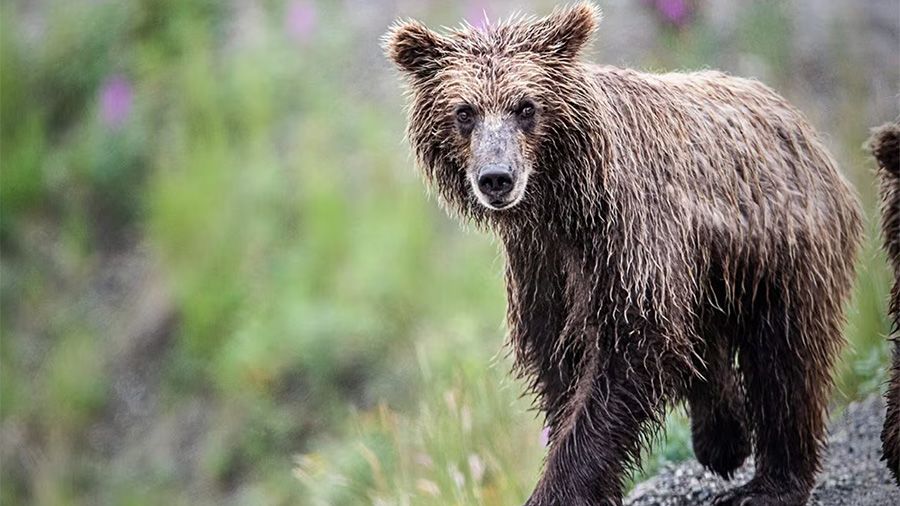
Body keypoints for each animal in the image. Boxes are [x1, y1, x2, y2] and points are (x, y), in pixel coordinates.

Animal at [384, 3, 862, 505]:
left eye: (526, 106)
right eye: (464, 111)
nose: (497, 177)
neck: (560, 204)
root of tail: (800, 123)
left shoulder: (626, 240)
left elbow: (627, 356)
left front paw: (559, 487)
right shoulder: (541, 265)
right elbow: (560, 365)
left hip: (783, 248)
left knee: (785, 361)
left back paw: (770, 482)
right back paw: (722, 437)